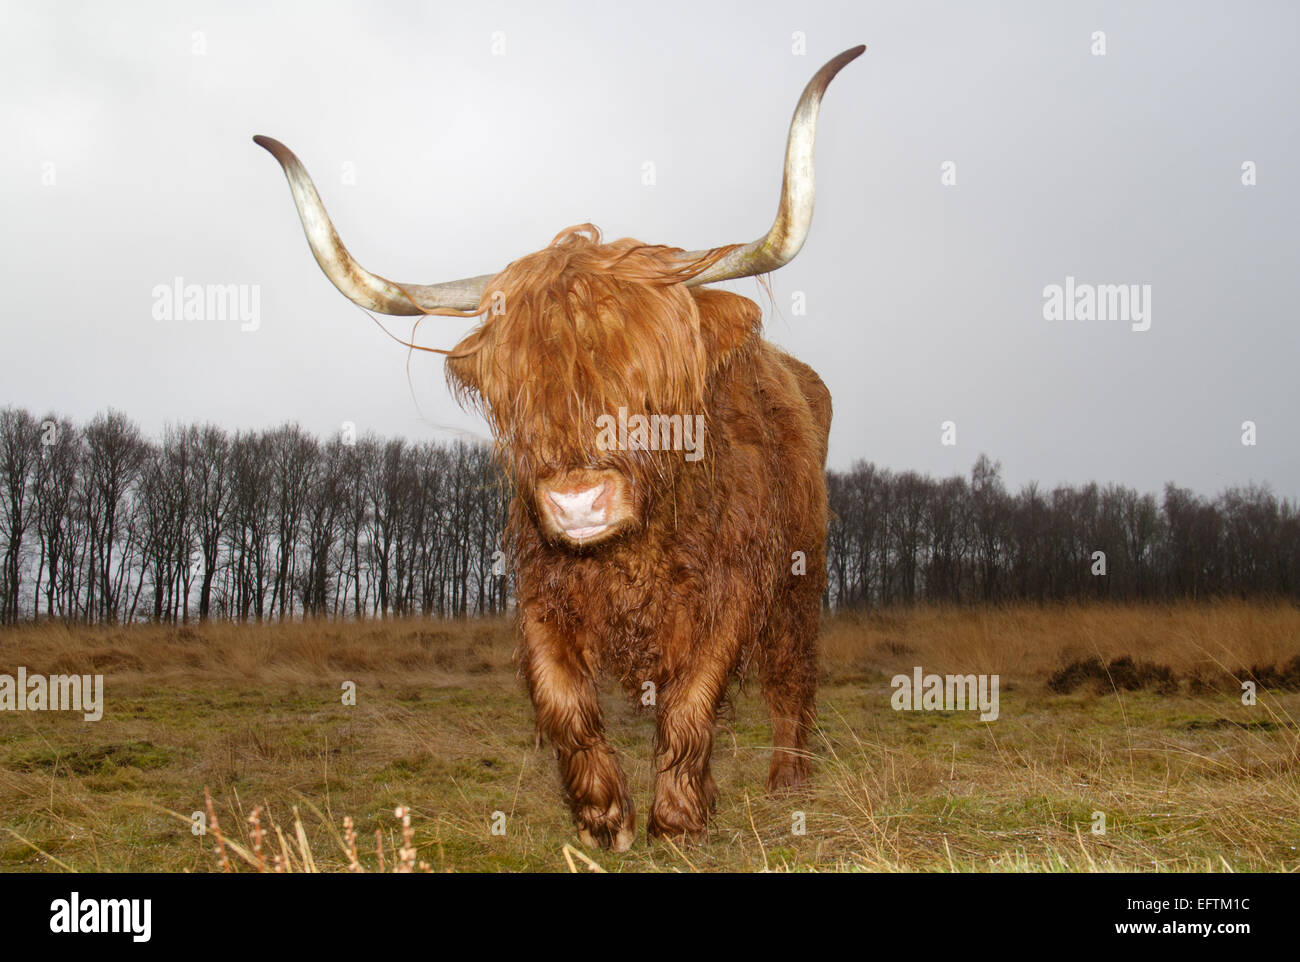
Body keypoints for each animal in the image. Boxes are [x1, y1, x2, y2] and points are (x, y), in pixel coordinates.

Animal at [253, 43, 863, 847]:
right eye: (520, 391)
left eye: (651, 380)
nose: (577, 503)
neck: (631, 555)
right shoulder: (541, 586)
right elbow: (563, 700)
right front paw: (605, 817)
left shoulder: (734, 586)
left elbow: (692, 700)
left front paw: (678, 817)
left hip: (802, 577)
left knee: (794, 674)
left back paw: (789, 778)